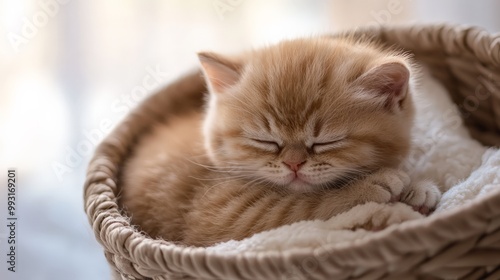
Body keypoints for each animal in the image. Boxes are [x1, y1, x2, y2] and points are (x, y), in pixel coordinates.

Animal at [119, 37, 440, 247]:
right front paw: (374, 194)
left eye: (325, 142)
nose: (293, 164)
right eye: (265, 141)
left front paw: (416, 187)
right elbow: (305, 210)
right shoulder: (226, 215)